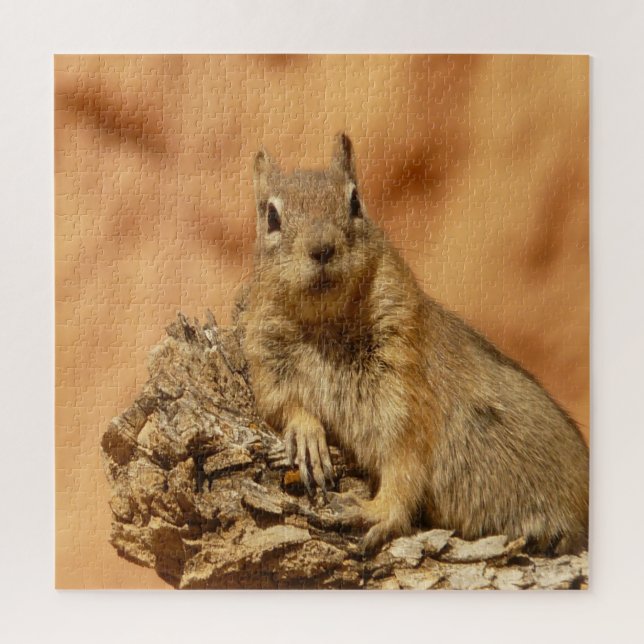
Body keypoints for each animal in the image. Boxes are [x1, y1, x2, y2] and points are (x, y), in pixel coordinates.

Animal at [237, 133, 589, 555]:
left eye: (355, 202)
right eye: (271, 217)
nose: (322, 248)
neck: (326, 325)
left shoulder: (405, 385)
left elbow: (404, 462)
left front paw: (375, 511)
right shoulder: (267, 361)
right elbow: (281, 404)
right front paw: (306, 434)